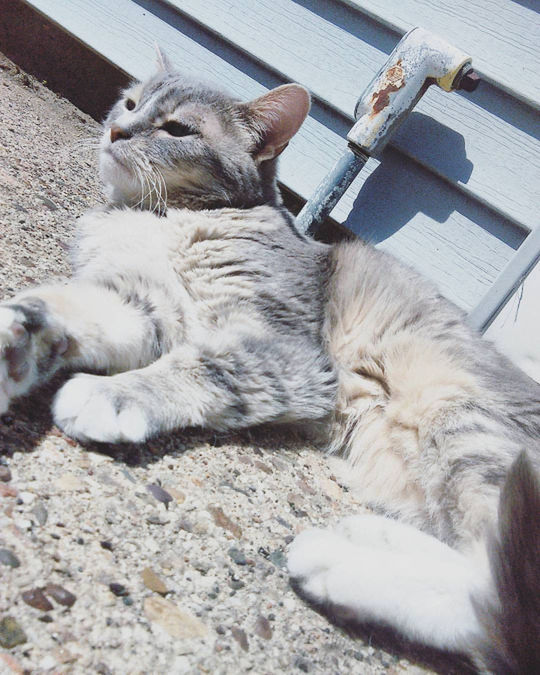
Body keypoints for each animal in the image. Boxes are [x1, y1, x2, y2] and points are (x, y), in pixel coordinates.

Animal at [0, 51, 536, 672]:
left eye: (177, 129)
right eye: (131, 103)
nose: (116, 130)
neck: (158, 218)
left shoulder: (285, 352)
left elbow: (200, 367)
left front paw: (114, 393)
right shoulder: (137, 306)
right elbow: (60, 310)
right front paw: (14, 337)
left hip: (464, 421)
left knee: (492, 600)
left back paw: (337, 561)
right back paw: (363, 537)